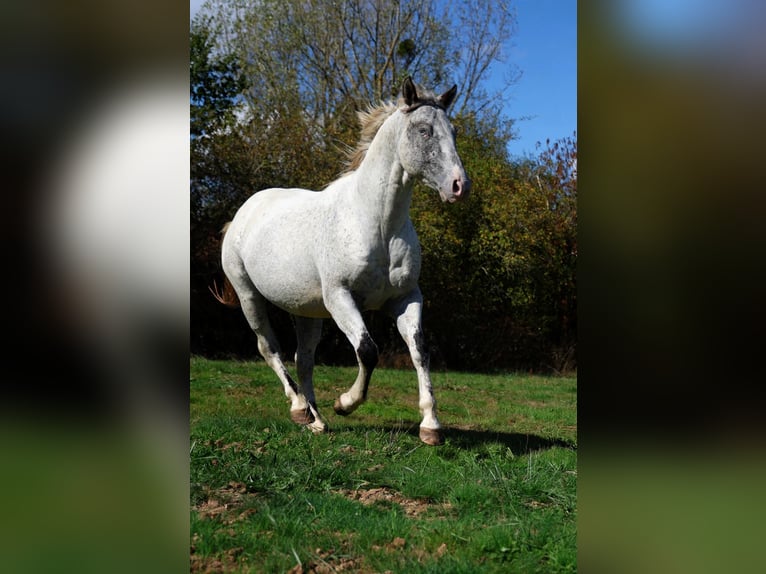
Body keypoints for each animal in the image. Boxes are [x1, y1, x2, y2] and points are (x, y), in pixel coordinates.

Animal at [213, 77, 470, 445]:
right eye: (424, 130)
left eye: (454, 131)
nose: (459, 186)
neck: (377, 224)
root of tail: (241, 215)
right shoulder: (340, 298)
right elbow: (368, 350)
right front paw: (345, 403)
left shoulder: (406, 298)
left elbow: (420, 350)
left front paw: (431, 426)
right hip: (250, 297)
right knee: (269, 348)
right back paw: (299, 408)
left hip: (305, 311)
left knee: (303, 359)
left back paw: (316, 420)